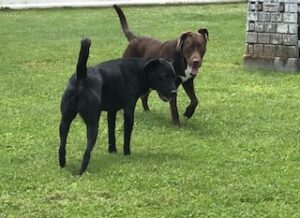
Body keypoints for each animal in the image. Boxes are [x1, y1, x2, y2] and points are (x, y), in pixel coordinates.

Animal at [58, 38, 178, 175]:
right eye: (164, 76)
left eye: (174, 76)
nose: (174, 92)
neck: (139, 70)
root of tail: (81, 76)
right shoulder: (129, 111)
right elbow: (127, 135)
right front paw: (127, 153)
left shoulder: (112, 112)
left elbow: (111, 132)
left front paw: (113, 151)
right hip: (92, 123)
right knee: (87, 152)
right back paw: (80, 172)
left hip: (64, 121)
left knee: (62, 146)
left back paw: (62, 164)